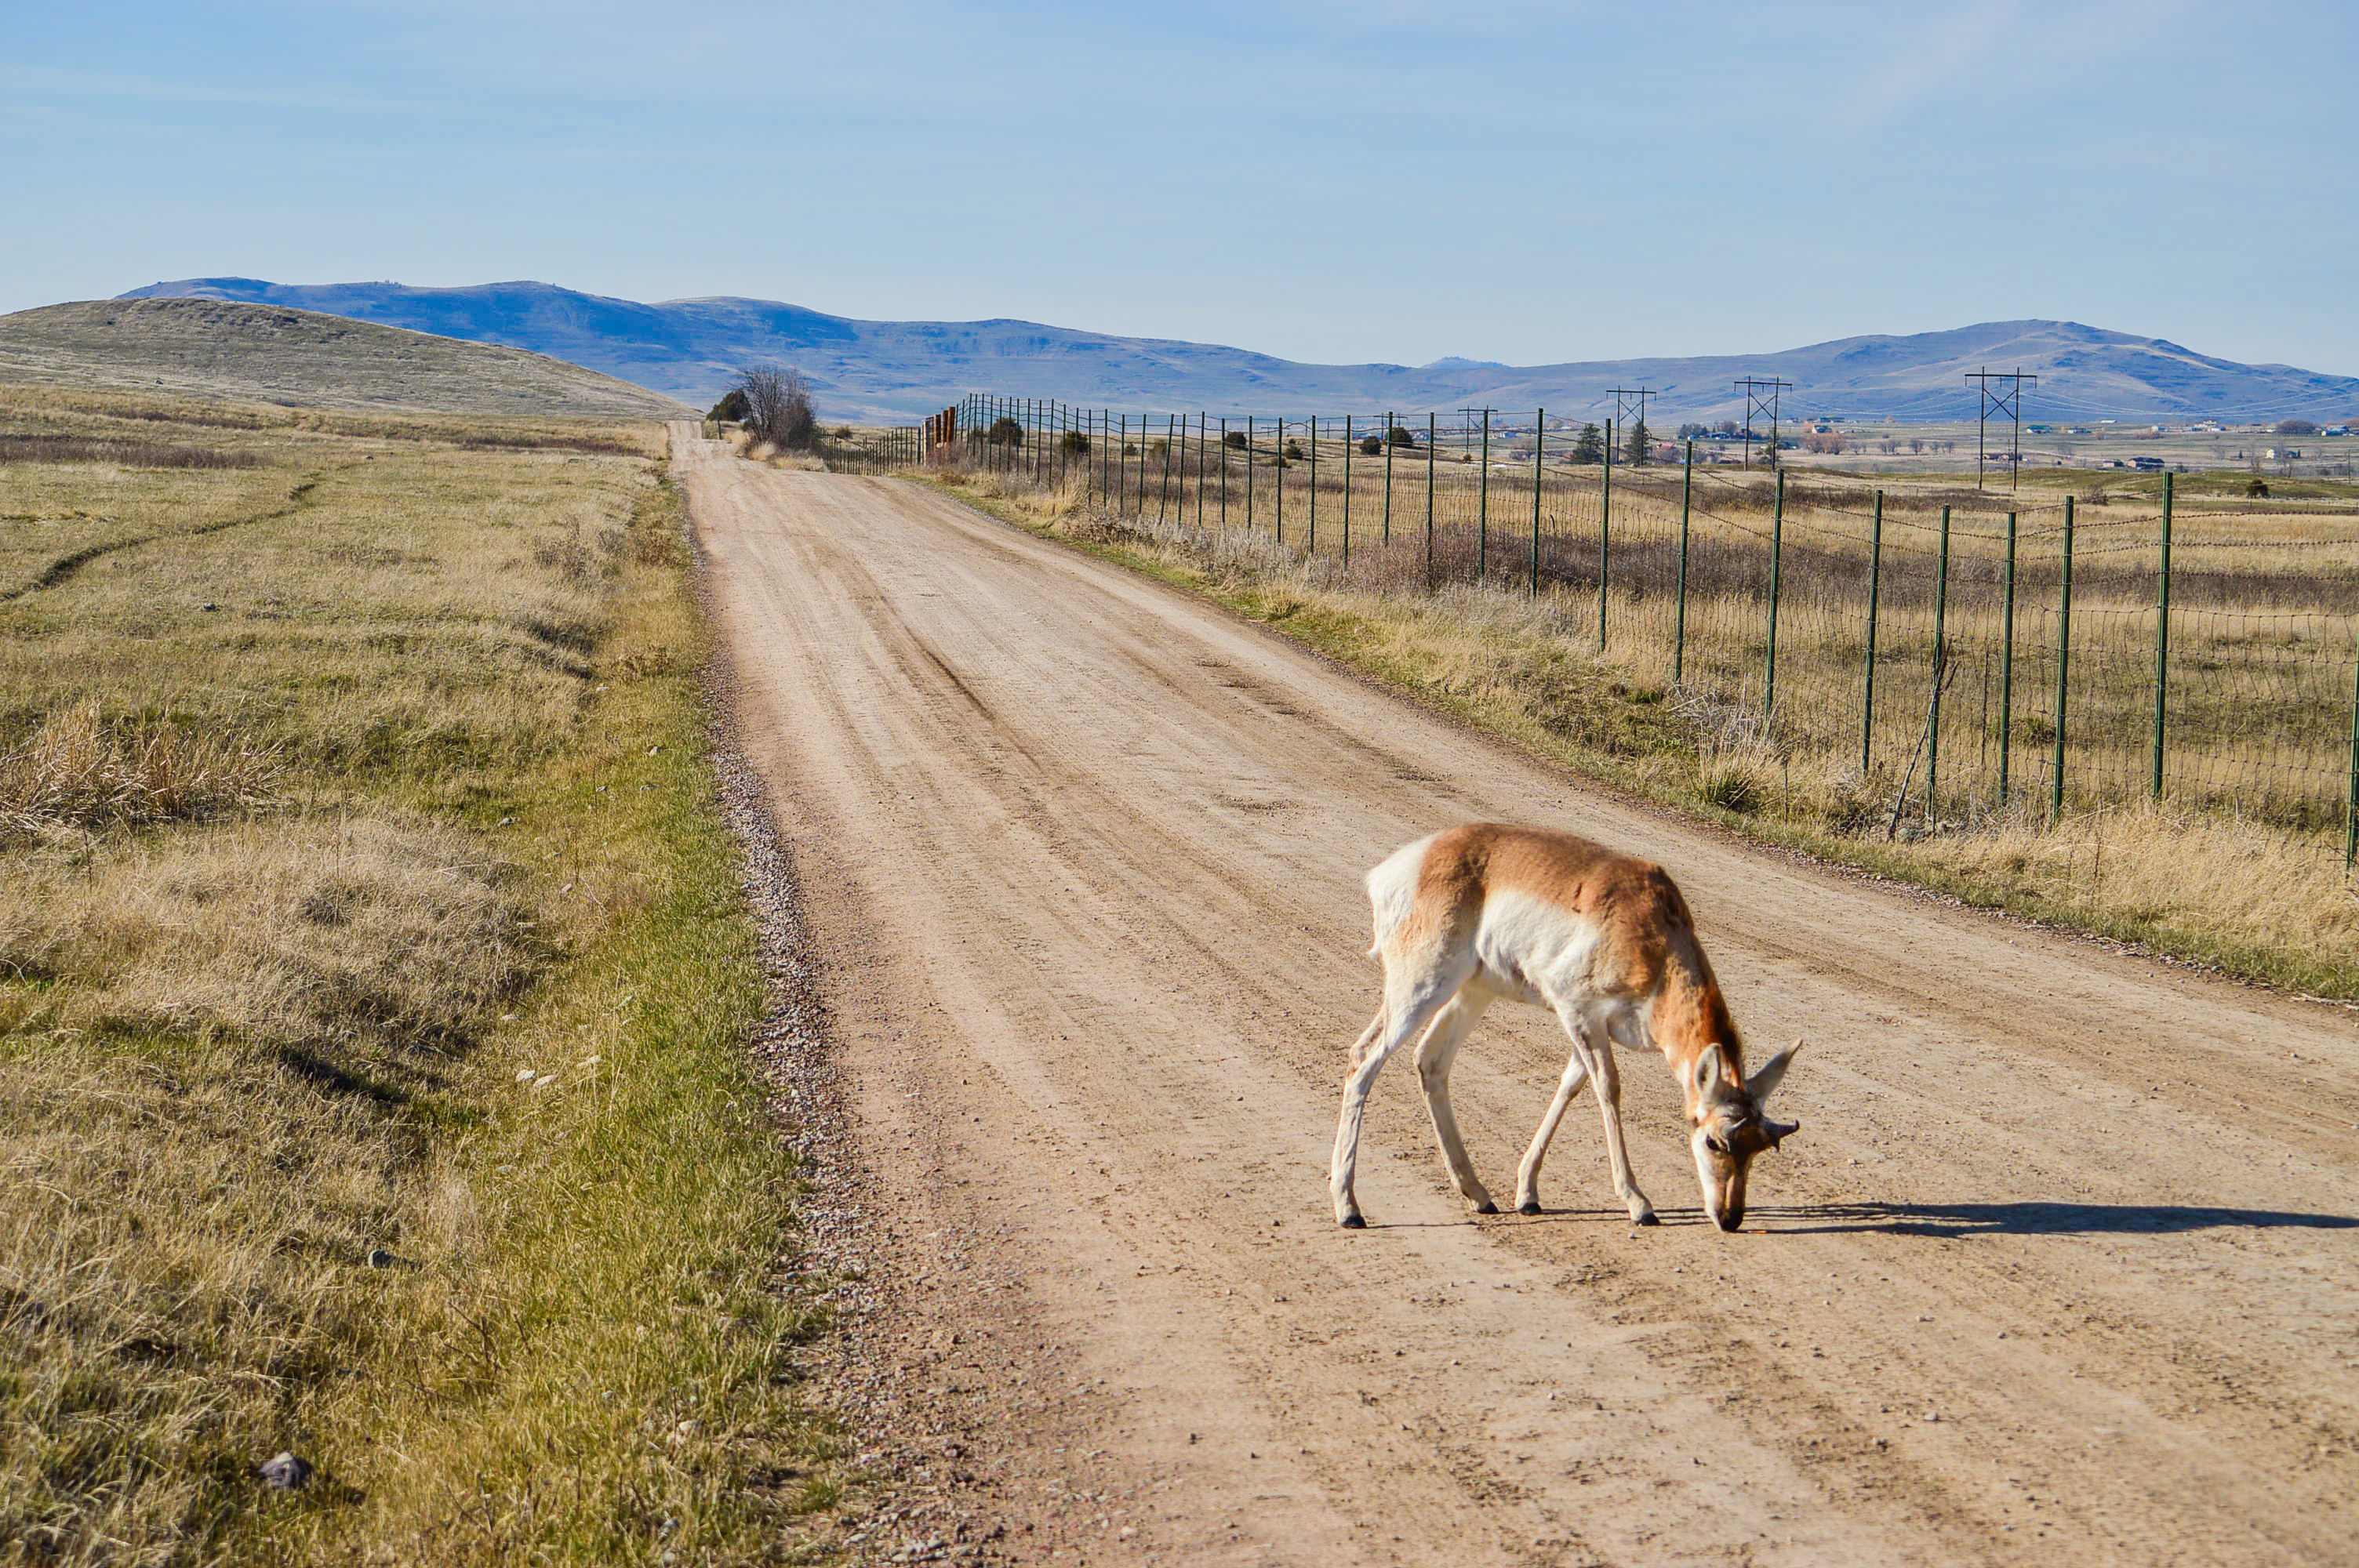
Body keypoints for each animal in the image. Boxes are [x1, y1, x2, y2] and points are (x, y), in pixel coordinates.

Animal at [1330, 823, 1798, 1231]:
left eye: (1759, 1146)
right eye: (1713, 1141)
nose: (1730, 1218)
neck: (1654, 934)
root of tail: (1413, 860)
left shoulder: (1592, 1027)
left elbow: (1570, 1085)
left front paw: (1527, 1194)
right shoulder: (1578, 1012)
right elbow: (1607, 1087)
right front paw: (1638, 1203)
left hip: (1473, 992)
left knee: (1430, 1060)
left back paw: (1478, 1194)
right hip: (1423, 985)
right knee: (1364, 1057)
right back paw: (1349, 1208)